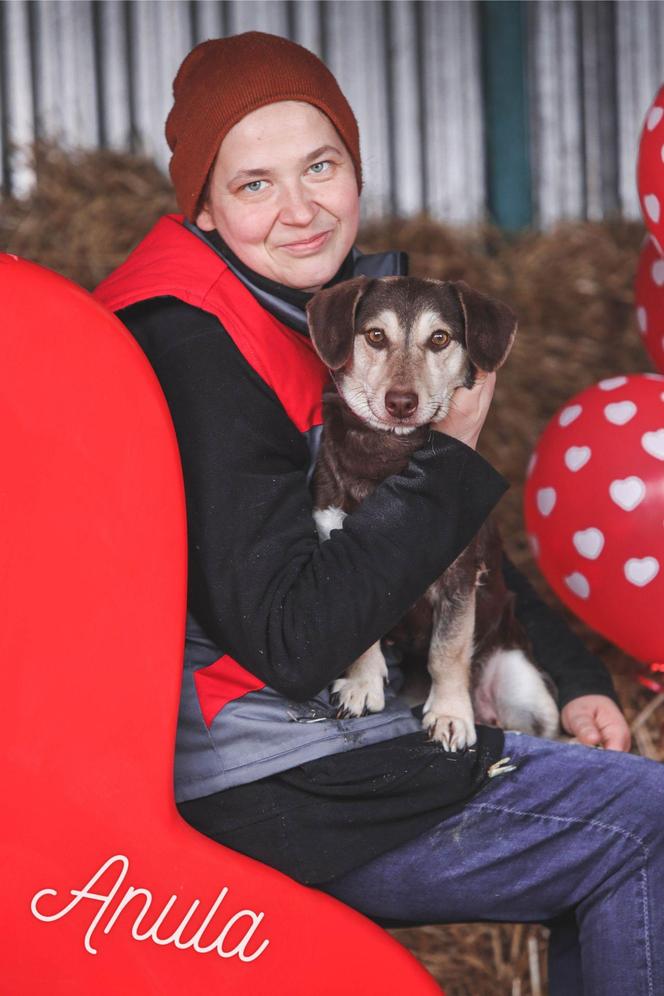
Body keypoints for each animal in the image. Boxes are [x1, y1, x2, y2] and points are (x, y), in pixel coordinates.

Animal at [306, 276, 560, 752]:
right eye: (375, 335)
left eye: (439, 338)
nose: (401, 402)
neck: (389, 455)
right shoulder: (337, 550)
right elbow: (358, 631)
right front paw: (362, 683)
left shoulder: (460, 574)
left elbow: (448, 650)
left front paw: (450, 714)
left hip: (528, 692)